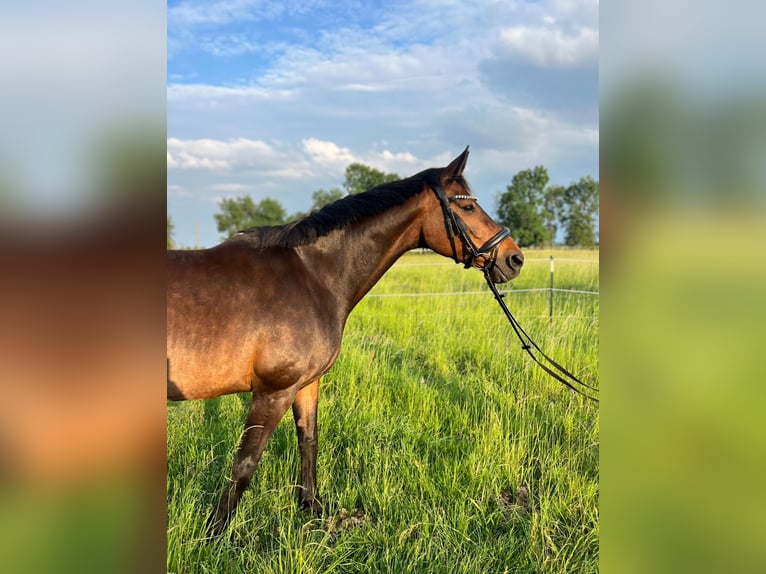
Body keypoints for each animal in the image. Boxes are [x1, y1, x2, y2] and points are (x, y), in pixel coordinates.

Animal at [168, 147, 524, 536]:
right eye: (469, 207)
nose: (514, 258)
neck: (311, 276)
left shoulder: (305, 385)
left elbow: (308, 441)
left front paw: (311, 508)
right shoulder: (274, 390)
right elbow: (246, 462)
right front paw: (215, 532)